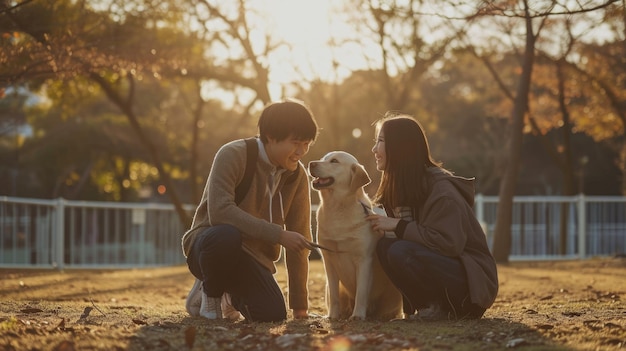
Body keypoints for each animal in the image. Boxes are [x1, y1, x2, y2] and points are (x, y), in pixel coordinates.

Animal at [306, 151, 400, 322]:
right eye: (323, 159)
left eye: (334, 161)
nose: (311, 163)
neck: (337, 207)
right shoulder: (329, 260)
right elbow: (334, 296)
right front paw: (333, 316)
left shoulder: (364, 259)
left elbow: (361, 292)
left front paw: (357, 315)